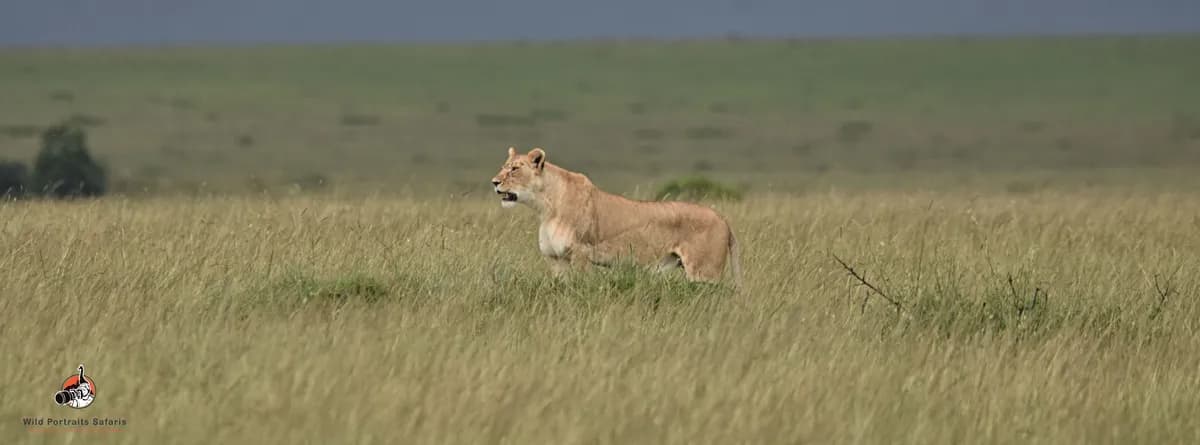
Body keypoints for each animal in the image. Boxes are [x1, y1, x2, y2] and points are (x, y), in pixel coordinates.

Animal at [491, 146, 741, 285]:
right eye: (504, 166)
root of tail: (725, 221)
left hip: (704, 273)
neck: (545, 207)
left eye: (514, 169)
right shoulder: (556, 259)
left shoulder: (581, 253)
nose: (494, 182)